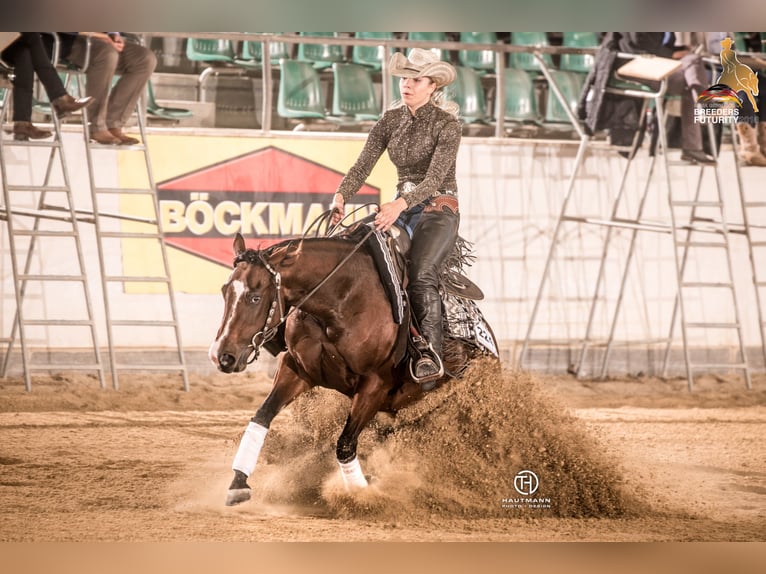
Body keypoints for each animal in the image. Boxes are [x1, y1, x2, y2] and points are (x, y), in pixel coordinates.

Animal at [209, 229, 499, 506]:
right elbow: (262, 417)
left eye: (255, 297)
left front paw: (361, 497)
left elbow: (345, 445)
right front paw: (238, 483)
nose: (222, 356)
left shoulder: (375, 384)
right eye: (225, 291)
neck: (341, 301)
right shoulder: (297, 369)